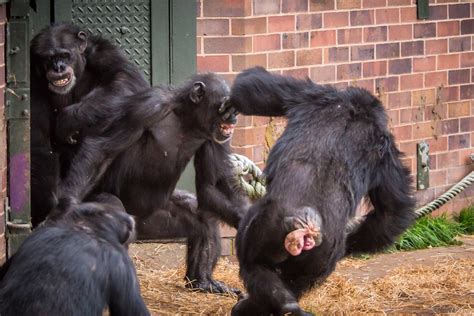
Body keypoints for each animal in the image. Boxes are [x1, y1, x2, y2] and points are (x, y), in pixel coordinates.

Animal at [223, 67, 414, 316]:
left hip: (267, 229)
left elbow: (251, 89)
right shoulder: (314, 95)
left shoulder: (310, 94)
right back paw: (280, 306)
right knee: (278, 275)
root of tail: (305, 229)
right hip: (310, 249)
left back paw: (261, 306)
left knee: (256, 267)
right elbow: (392, 212)